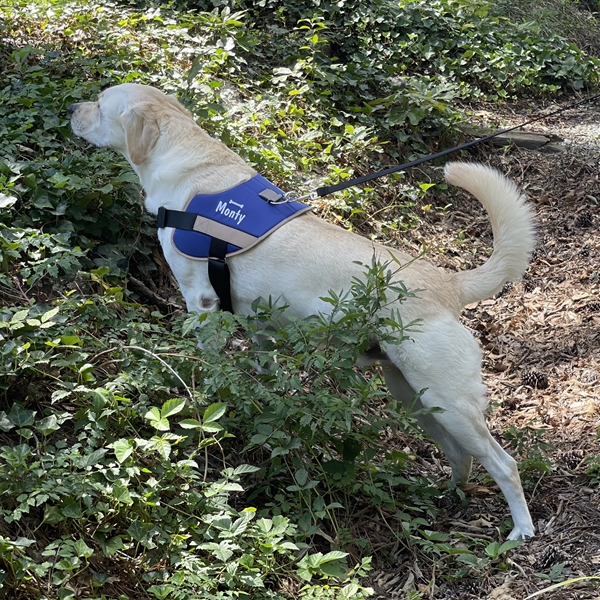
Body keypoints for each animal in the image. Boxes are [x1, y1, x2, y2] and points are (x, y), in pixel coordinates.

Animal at [69, 83, 536, 540]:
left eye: (100, 102)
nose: (73, 107)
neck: (190, 163)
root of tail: (447, 283)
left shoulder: (202, 302)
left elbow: (211, 363)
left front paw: (206, 398)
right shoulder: (255, 324)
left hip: (447, 399)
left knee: (504, 463)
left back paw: (521, 531)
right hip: (414, 395)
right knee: (461, 455)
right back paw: (444, 497)